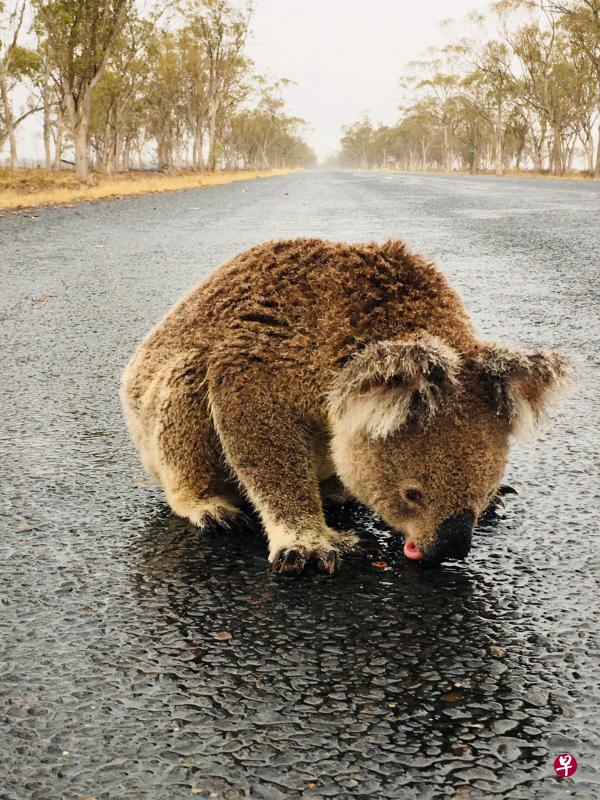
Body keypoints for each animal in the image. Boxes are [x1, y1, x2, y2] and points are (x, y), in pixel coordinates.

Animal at [121, 238, 572, 575]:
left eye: (480, 490)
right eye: (412, 494)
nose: (446, 549)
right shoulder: (260, 364)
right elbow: (265, 451)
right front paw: (308, 543)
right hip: (169, 410)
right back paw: (209, 507)